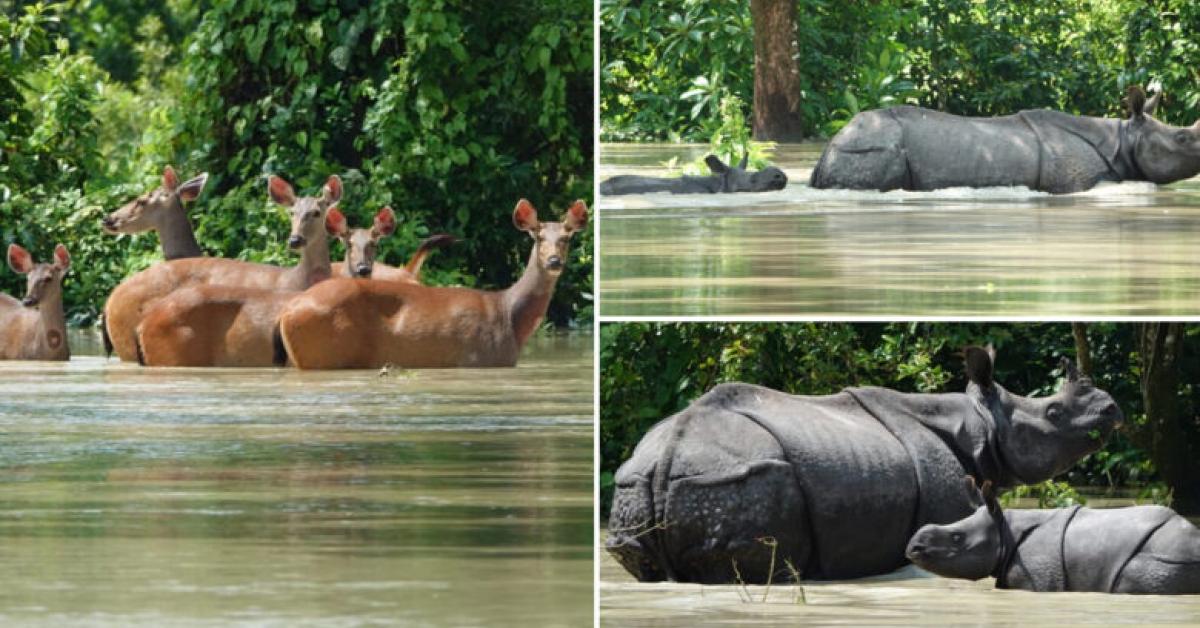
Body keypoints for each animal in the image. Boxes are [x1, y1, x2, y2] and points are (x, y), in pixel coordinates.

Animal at [276, 199, 585, 372]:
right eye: (539, 237)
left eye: (567, 238)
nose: (555, 261)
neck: (510, 316)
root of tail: (288, 311)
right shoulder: (480, 358)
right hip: (323, 354)